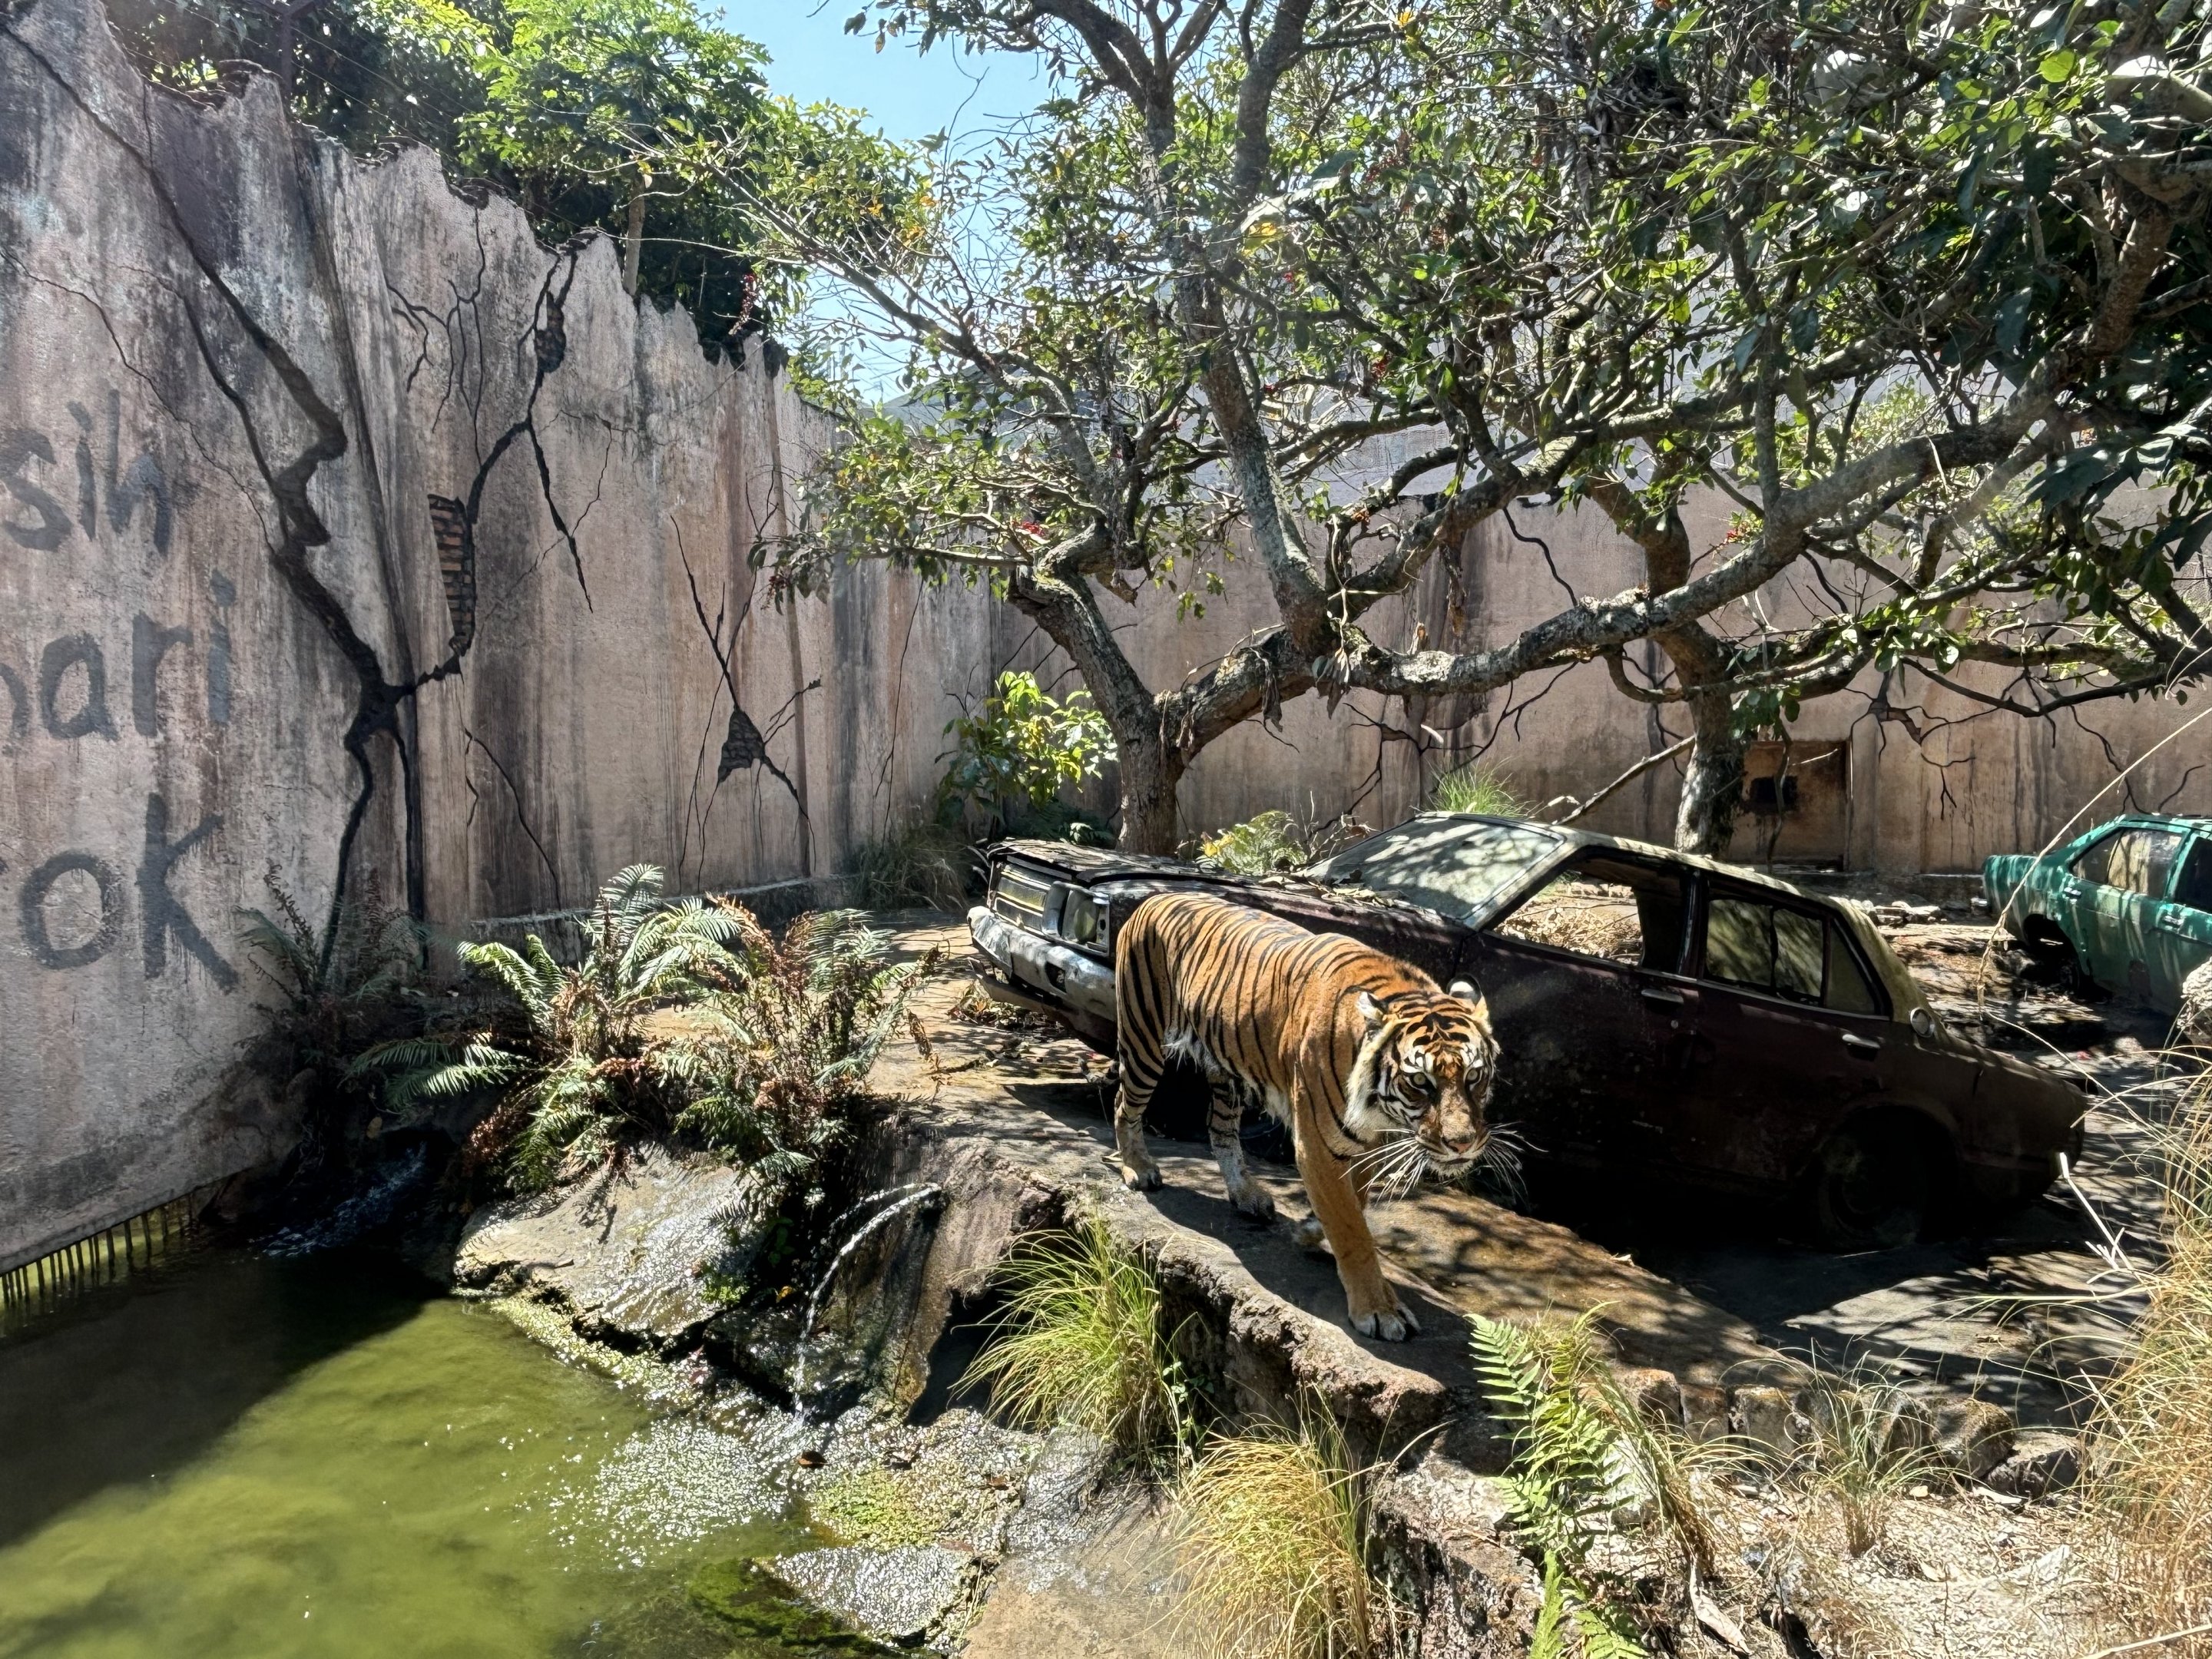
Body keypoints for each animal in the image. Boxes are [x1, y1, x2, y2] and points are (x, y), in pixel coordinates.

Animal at [1112, 890, 1499, 1341]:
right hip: (1143, 1042)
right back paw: (1139, 1168)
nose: (1462, 1144)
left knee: (1221, 1131)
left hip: (1225, 1069)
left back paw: (1246, 1195)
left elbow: (1354, 1204)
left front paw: (1312, 1229)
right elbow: (1352, 1228)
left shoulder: (1360, 1142)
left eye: (1474, 1075)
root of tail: (1156, 896)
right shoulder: (1317, 1144)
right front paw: (1380, 1310)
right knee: (1124, 1105)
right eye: (1420, 1081)